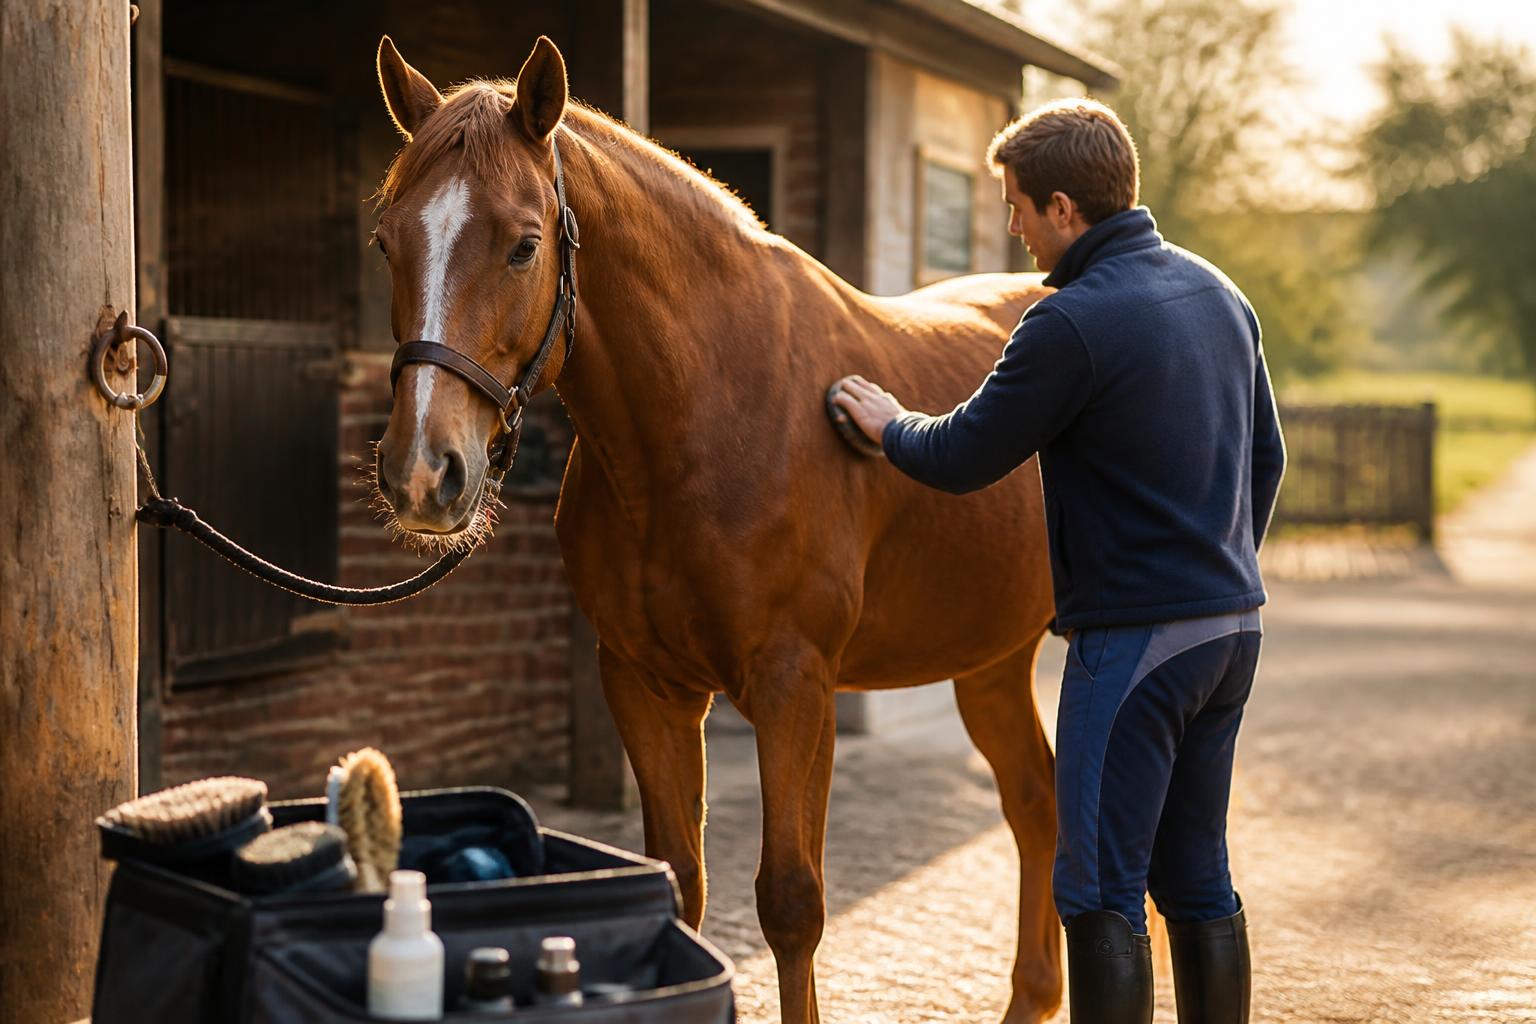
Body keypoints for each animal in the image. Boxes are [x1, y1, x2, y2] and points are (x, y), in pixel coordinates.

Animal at [370, 35, 1061, 1024]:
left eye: (523, 246)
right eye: (387, 240)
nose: (425, 473)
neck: (712, 414)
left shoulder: (794, 687)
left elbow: (792, 902)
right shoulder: (645, 685)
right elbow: (681, 884)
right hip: (993, 658)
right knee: (1038, 803)